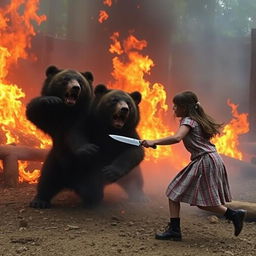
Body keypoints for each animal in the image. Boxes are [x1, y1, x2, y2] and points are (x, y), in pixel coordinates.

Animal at [26, 65, 97, 208]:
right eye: (65, 79)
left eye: (80, 82)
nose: (75, 88)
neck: (68, 110)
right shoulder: (53, 121)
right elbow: (33, 112)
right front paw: (50, 100)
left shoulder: (81, 116)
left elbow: (75, 133)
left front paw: (88, 149)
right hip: (54, 162)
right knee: (47, 179)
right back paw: (39, 201)